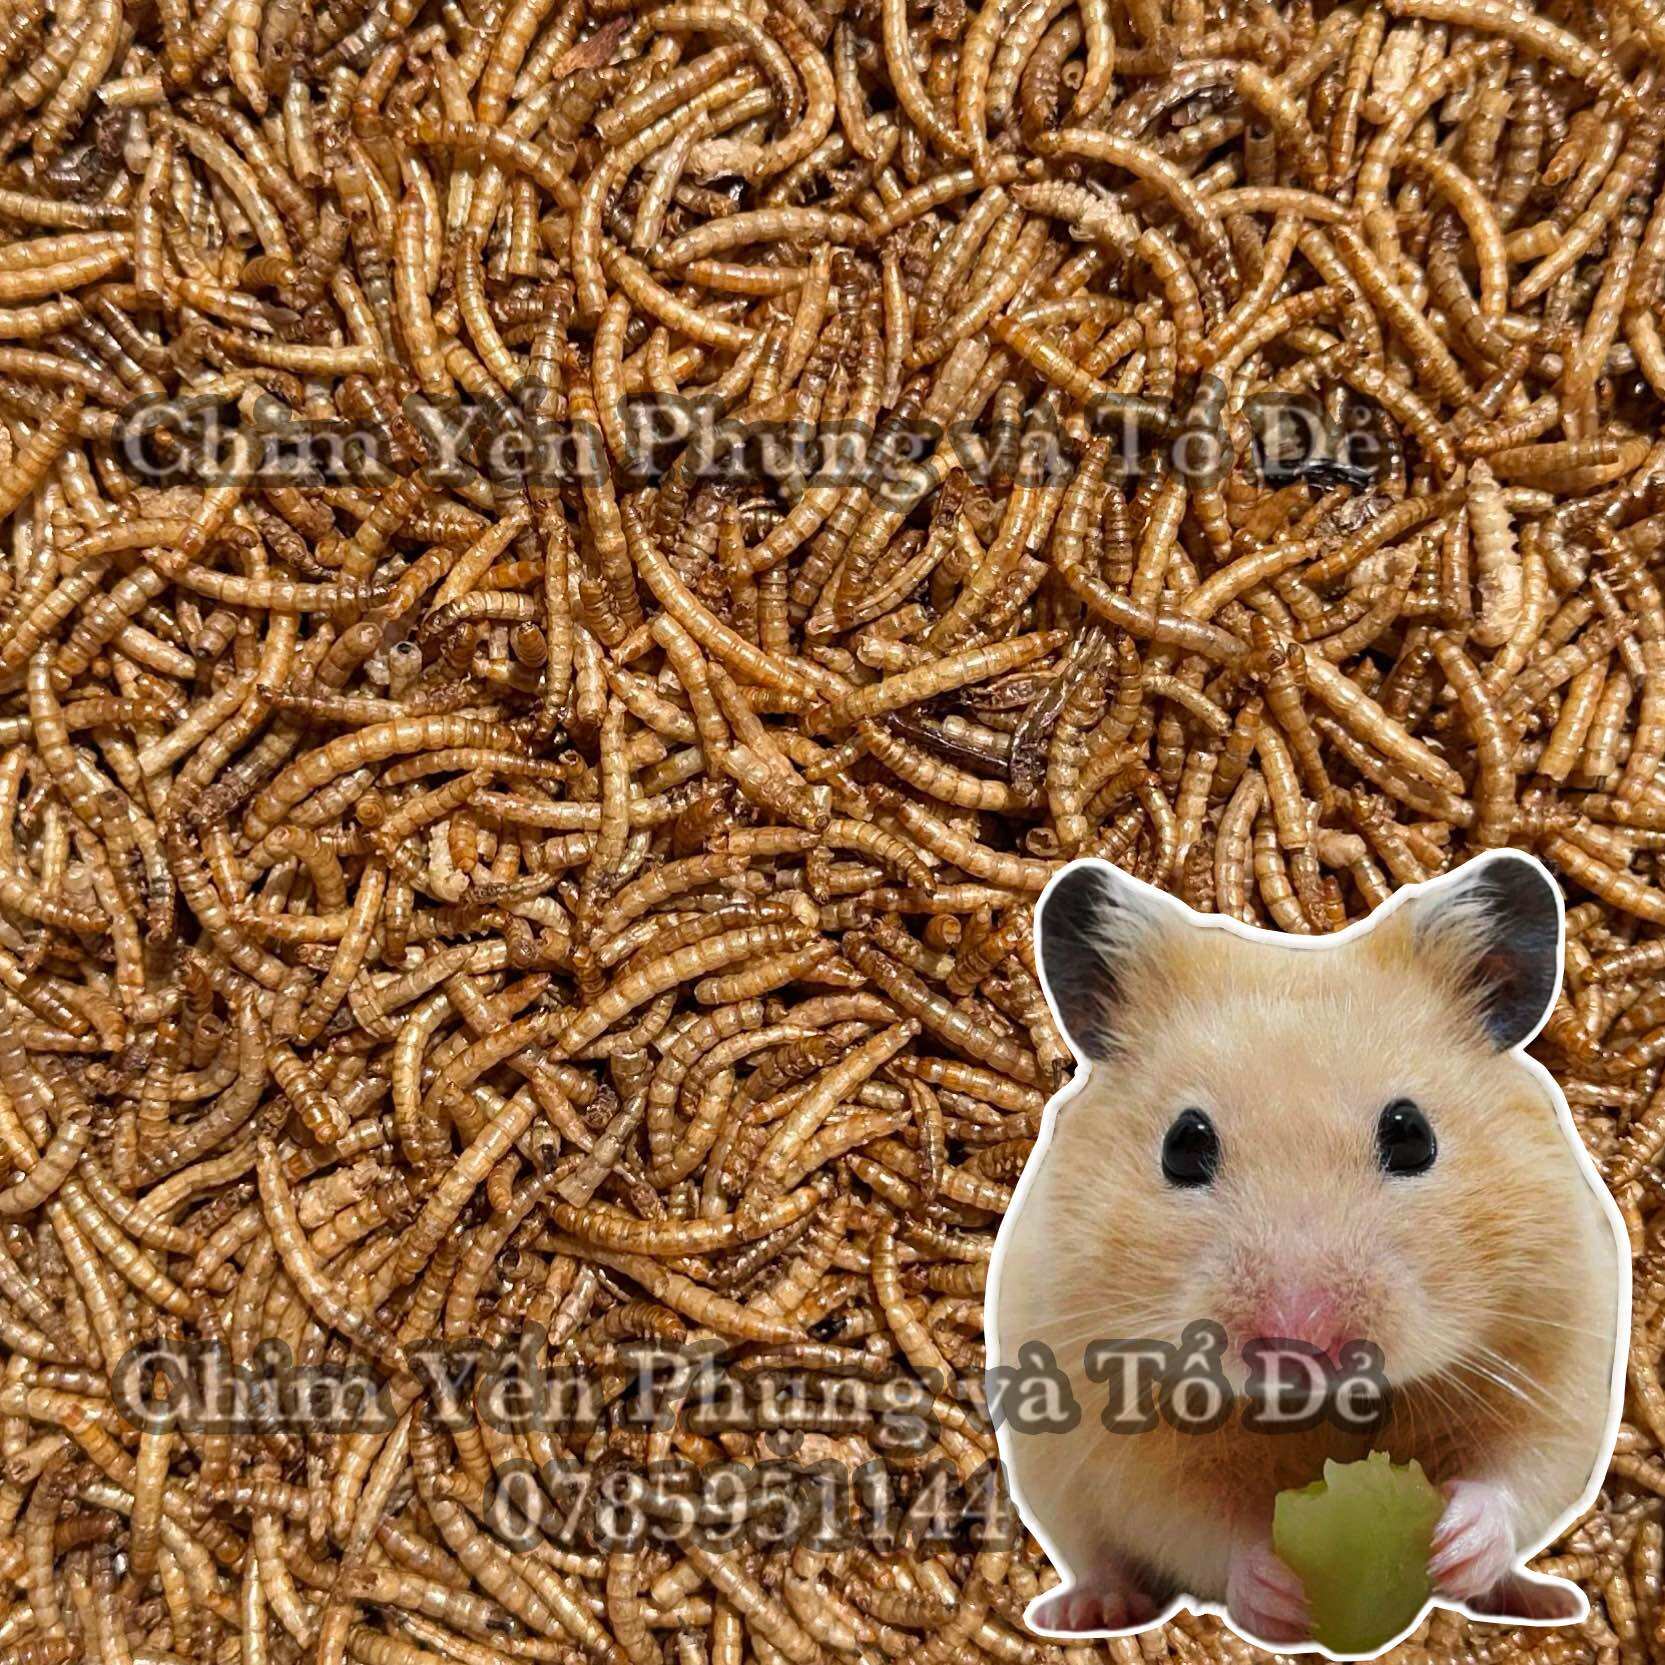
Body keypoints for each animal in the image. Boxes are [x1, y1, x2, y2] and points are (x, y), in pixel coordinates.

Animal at [989, 851, 1623, 1650]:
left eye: (1411, 1134)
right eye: (1183, 1145)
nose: (1299, 1341)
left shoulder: (1555, 1350)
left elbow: (1518, 1471)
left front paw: (1457, 1543)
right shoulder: (1116, 1420)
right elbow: (1196, 1519)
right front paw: (1277, 1592)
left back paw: (1541, 1598)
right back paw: (1088, 1610)